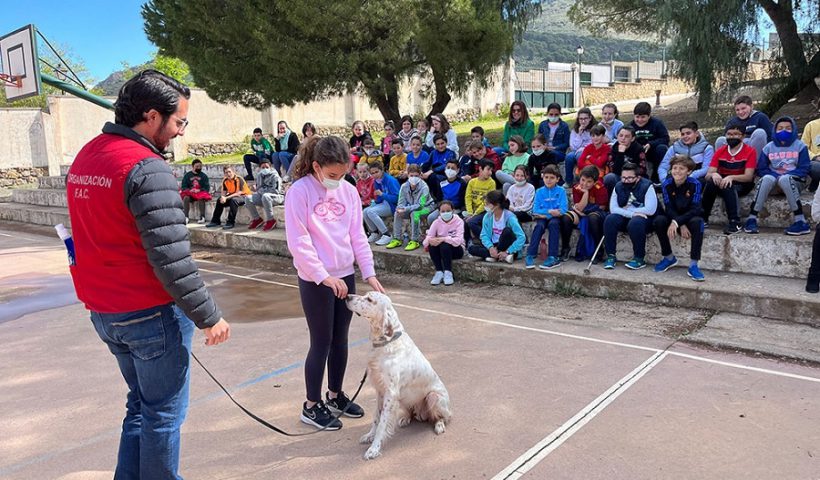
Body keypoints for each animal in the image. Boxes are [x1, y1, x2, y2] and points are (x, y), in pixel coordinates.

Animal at [342, 290, 452, 460]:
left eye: (369, 299)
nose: (347, 296)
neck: (387, 343)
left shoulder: (390, 393)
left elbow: (382, 424)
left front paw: (374, 449)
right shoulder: (380, 391)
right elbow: (376, 418)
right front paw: (369, 436)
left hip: (434, 397)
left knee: (443, 416)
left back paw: (439, 425)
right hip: (404, 398)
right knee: (412, 413)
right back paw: (405, 419)